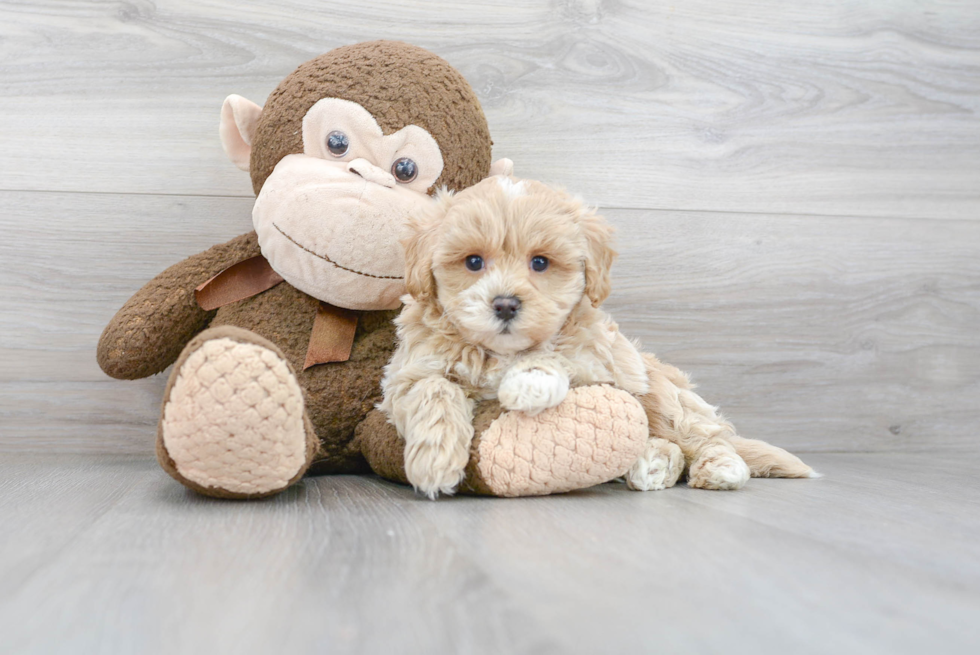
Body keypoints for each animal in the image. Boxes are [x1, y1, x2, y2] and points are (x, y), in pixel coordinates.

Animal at [378, 177, 816, 500]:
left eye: (540, 263)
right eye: (472, 262)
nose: (504, 304)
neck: (498, 353)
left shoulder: (604, 365)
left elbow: (561, 352)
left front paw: (529, 380)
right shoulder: (405, 379)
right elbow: (434, 389)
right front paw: (435, 459)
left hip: (660, 391)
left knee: (701, 433)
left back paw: (718, 467)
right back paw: (651, 463)